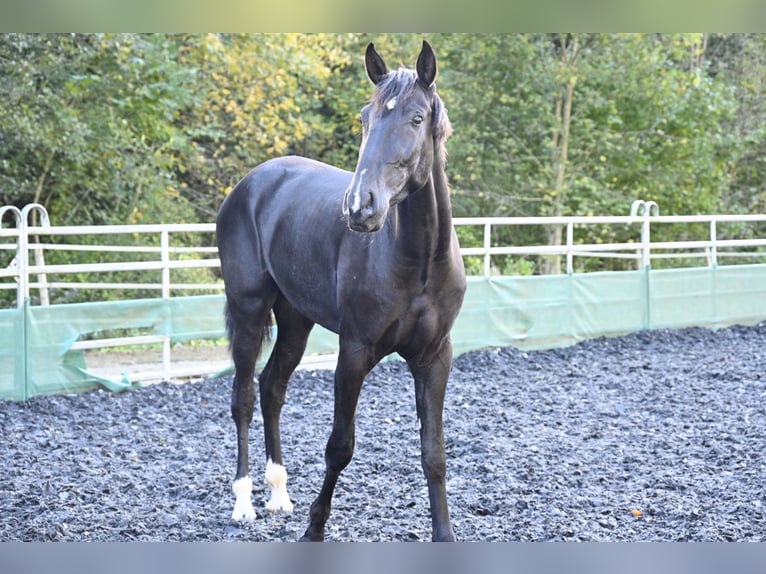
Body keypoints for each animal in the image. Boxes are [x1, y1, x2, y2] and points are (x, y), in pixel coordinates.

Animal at [216, 40, 468, 544]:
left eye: (416, 118)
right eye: (365, 118)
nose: (359, 207)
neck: (417, 263)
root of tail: (250, 184)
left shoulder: (435, 357)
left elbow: (433, 452)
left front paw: (444, 535)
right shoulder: (354, 352)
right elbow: (340, 446)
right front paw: (314, 531)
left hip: (295, 319)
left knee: (272, 387)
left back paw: (278, 495)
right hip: (249, 311)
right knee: (244, 398)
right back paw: (243, 502)